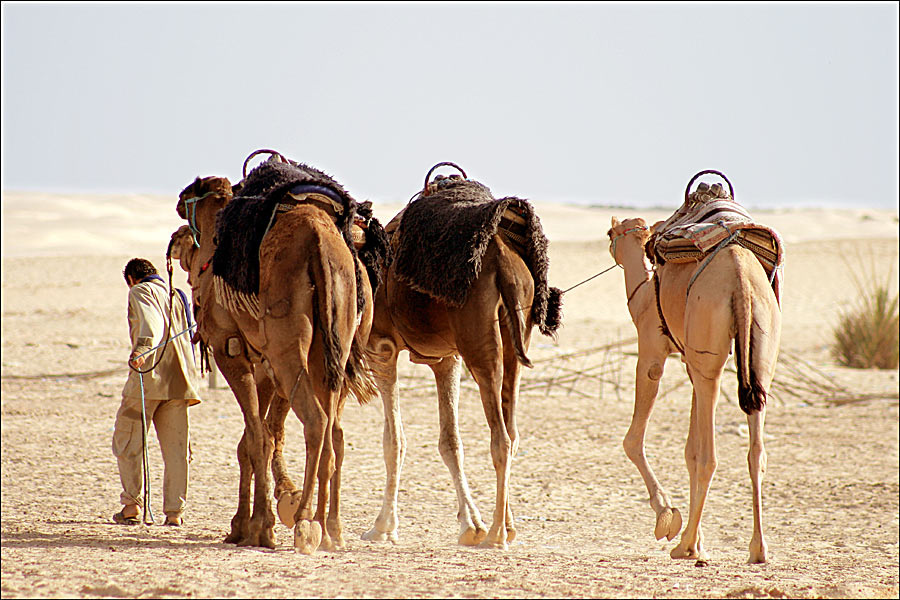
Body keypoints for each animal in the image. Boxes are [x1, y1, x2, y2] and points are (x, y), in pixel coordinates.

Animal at [174, 160, 377, 554]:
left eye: (190, 198)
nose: (176, 239)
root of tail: (318, 239)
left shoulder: (230, 349)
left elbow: (257, 438)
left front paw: (259, 527)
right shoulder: (265, 363)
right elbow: (258, 437)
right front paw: (246, 523)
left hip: (289, 343)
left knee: (316, 422)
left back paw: (305, 524)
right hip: (337, 343)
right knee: (335, 431)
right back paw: (330, 528)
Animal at [362, 165, 561, 549]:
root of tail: (504, 261)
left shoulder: (381, 348)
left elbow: (394, 441)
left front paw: (382, 528)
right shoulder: (446, 359)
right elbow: (450, 441)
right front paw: (471, 525)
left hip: (479, 341)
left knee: (500, 437)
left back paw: (497, 535)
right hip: (515, 335)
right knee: (512, 431)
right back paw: (505, 526)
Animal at [606, 215, 781, 564]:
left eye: (610, 233)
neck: (643, 295)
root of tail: (741, 280)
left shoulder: (652, 349)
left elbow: (633, 440)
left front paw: (668, 519)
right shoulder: (689, 362)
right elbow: (690, 449)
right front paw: (697, 538)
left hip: (709, 348)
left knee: (710, 457)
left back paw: (684, 545)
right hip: (760, 353)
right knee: (755, 452)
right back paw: (757, 549)